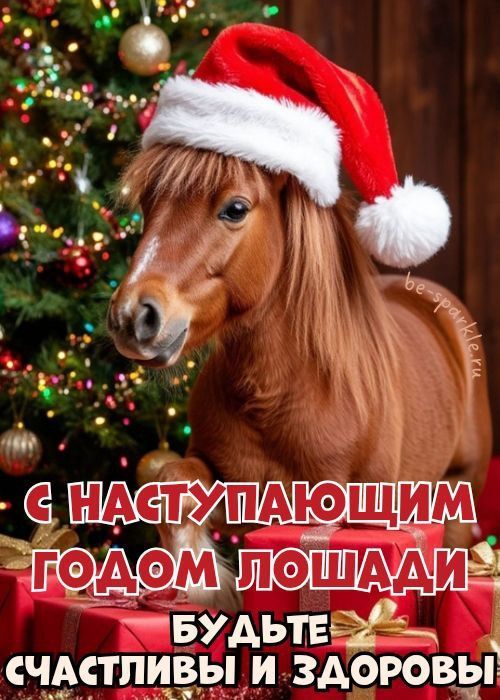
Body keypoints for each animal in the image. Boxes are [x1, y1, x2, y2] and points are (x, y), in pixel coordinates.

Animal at [107, 142, 492, 611]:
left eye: (235, 209)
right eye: (148, 204)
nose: (132, 316)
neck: (275, 397)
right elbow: (172, 484)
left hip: (460, 489)